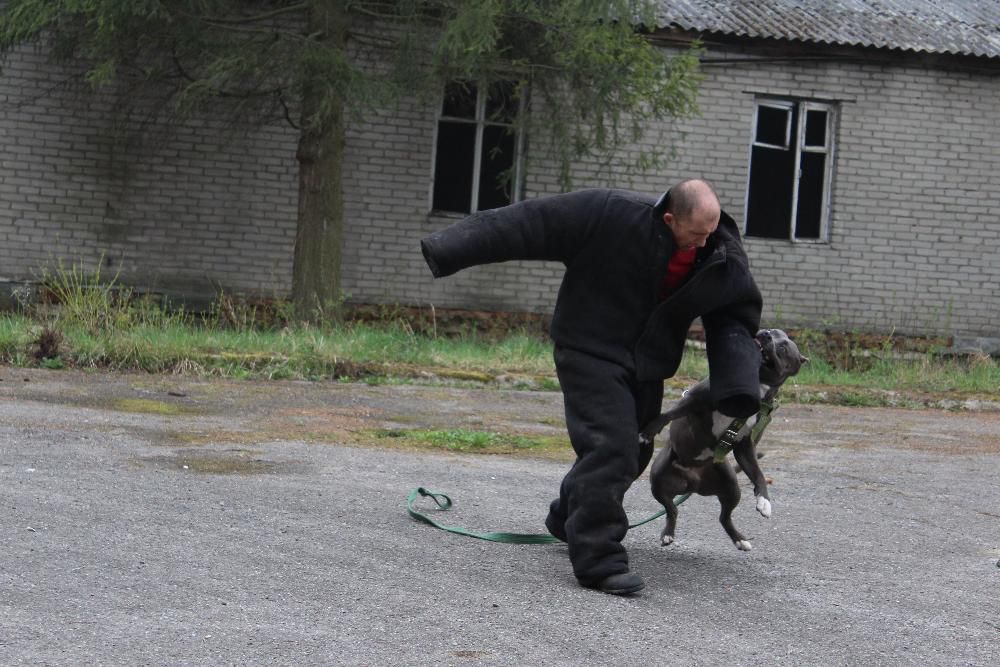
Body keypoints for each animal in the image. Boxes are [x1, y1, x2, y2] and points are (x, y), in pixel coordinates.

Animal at [644, 328, 808, 552]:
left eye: (783, 348)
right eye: (772, 331)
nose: (765, 333)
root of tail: (693, 483)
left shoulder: (744, 445)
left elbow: (758, 473)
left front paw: (764, 501)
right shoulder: (692, 400)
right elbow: (668, 414)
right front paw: (648, 431)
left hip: (731, 487)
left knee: (723, 517)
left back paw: (740, 539)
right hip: (658, 478)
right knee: (671, 509)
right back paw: (668, 533)